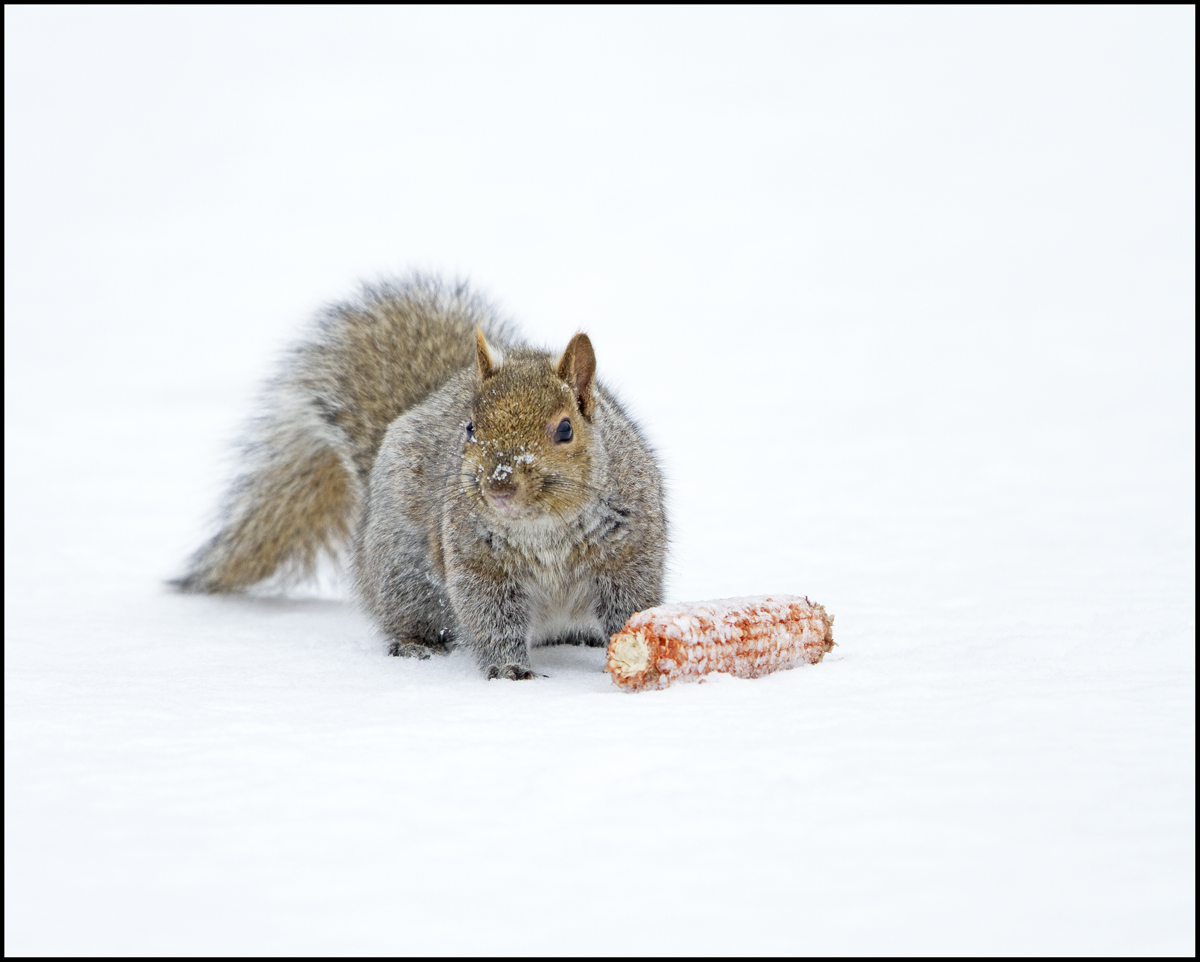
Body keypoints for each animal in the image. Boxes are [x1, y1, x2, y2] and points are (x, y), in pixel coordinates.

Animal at [174, 275, 667, 680]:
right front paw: (508, 668)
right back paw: (415, 644)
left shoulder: (629, 552)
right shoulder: (476, 562)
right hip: (404, 570)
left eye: (565, 429)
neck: (545, 527)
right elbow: (490, 616)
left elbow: (630, 604)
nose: (499, 484)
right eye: (470, 428)